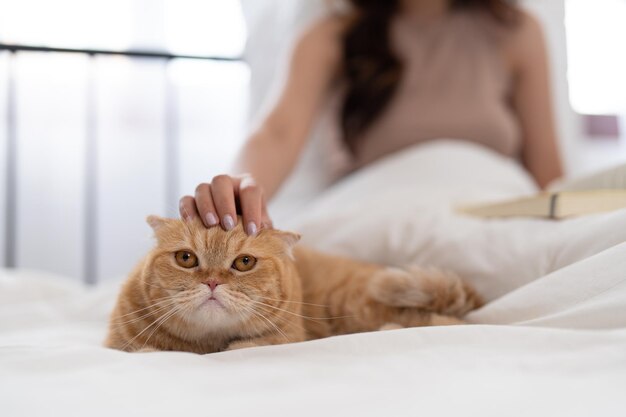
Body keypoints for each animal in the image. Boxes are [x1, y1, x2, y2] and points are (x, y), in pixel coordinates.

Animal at [105, 216, 480, 352]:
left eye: (244, 262)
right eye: (186, 258)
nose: (212, 281)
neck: (208, 344)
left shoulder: (280, 338)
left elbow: (245, 347)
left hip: (356, 306)